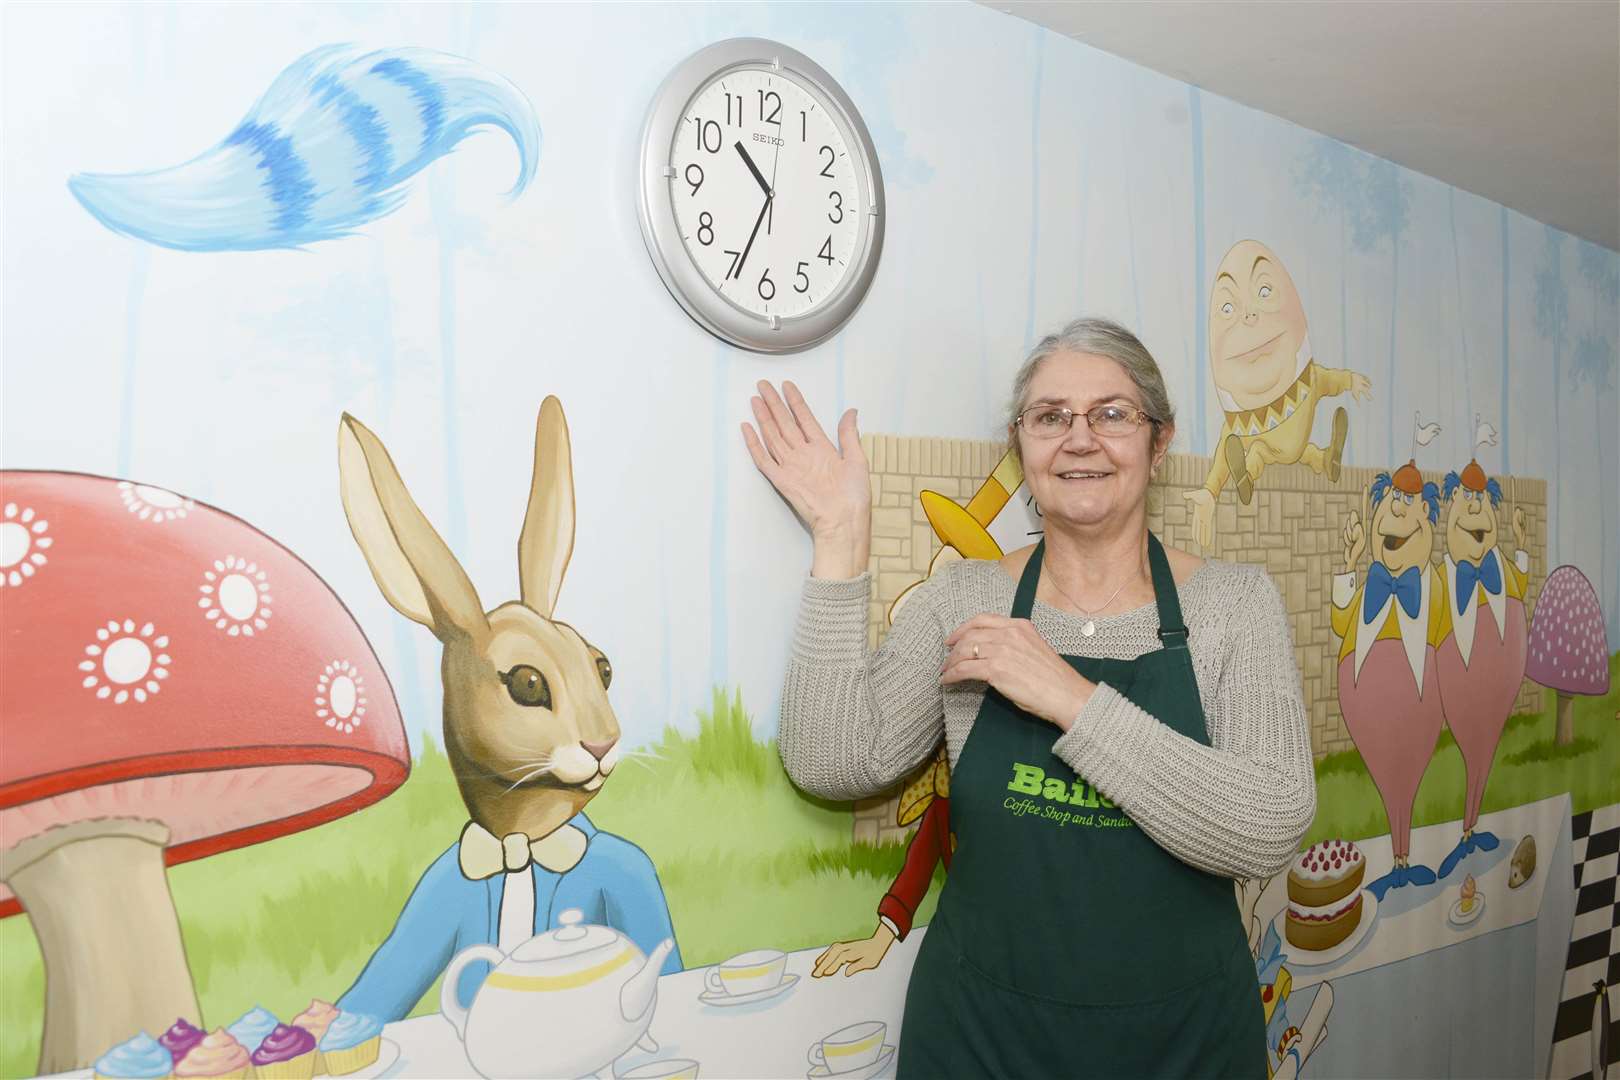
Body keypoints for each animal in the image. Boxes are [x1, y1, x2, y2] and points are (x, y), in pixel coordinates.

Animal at [335, 396, 677, 1023]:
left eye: (603, 668)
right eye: (527, 682)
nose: (602, 745)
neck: (519, 844)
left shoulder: (631, 873)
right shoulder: (435, 890)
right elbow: (379, 985)